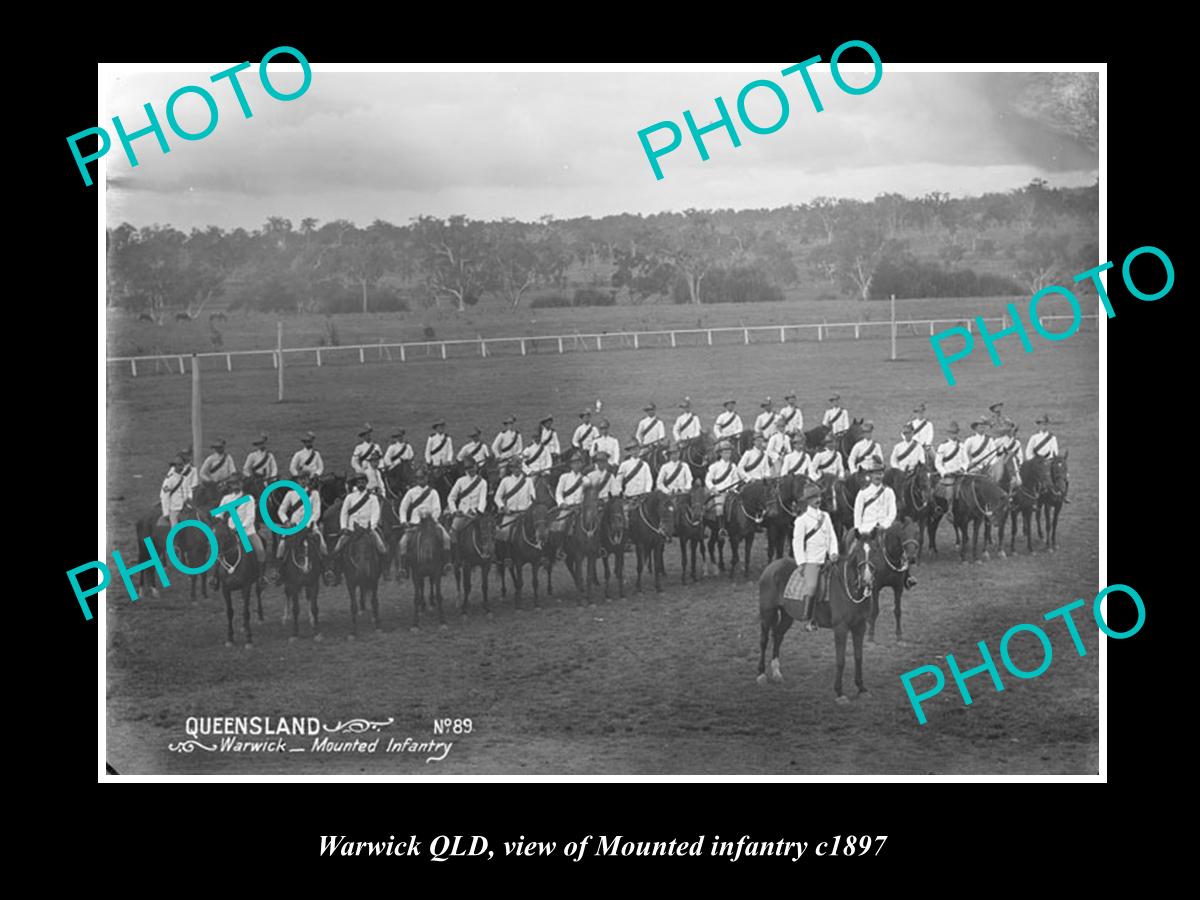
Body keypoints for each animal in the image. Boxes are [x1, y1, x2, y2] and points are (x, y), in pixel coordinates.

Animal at [214, 520, 264, 648]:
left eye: (226, 536)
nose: (217, 555)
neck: (232, 560)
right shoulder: (225, 589)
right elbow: (229, 612)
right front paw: (230, 638)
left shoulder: (246, 586)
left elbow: (246, 612)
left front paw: (249, 639)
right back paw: (244, 626)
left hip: (257, 580)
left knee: (258, 593)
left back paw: (260, 617)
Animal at [758, 556, 873, 705]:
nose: (867, 580)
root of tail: (772, 566)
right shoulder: (840, 628)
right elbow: (840, 660)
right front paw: (840, 693)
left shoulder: (860, 626)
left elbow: (859, 657)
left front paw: (862, 689)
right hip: (767, 613)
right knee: (764, 640)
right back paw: (761, 675)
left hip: (787, 615)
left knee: (778, 636)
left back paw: (776, 673)